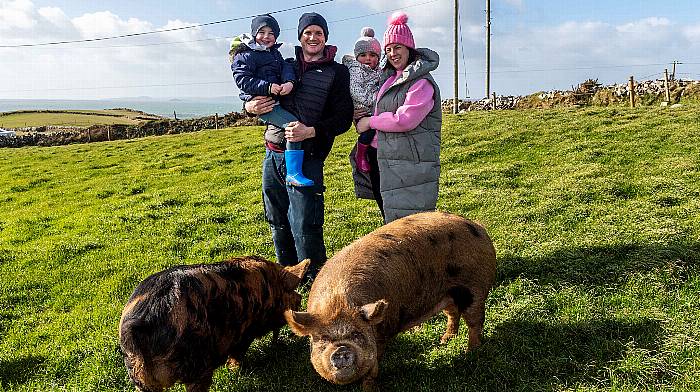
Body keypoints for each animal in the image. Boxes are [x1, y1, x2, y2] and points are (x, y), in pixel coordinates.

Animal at [119, 256, 308, 392]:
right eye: (292, 292)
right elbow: (238, 353)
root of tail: (140, 324)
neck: (269, 286)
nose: (300, 299)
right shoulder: (244, 332)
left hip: (138, 375)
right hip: (196, 362)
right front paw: (237, 370)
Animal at [284, 213, 498, 390]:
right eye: (323, 338)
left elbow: (373, 368)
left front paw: (369, 389)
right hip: (449, 294)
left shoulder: (382, 335)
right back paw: (444, 340)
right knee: (453, 314)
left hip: (475, 287)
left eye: (357, 334)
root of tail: (479, 227)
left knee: (475, 321)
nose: (341, 349)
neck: (338, 301)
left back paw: (470, 352)